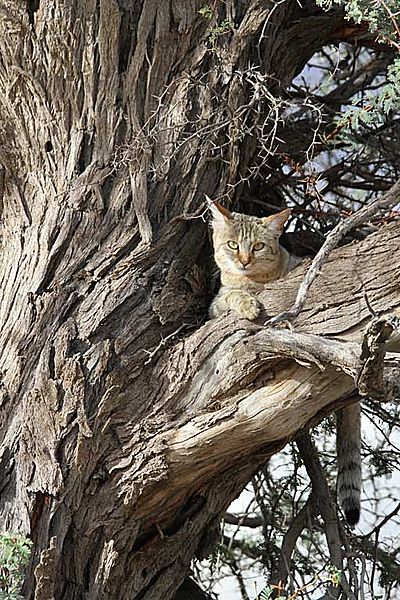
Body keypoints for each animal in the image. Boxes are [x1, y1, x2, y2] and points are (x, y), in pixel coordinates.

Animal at [209, 203, 362, 524]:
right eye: (232, 245)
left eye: (258, 246)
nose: (244, 261)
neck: (255, 281)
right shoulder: (217, 304)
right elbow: (232, 295)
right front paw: (247, 303)